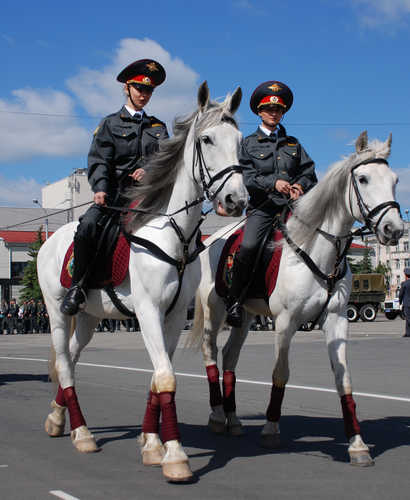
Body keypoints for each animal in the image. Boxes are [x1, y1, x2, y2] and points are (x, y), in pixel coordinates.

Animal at [38, 81, 247, 480]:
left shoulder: (174, 317)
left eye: (240, 140)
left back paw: (58, 419)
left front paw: (153, 444)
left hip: (88, 318)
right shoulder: (149, 311)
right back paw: (82, 433)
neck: (173, 231)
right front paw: (176, 455)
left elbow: (158, 376)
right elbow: (165, 377)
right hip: (58, 312)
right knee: (64, 362)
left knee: (70, 355)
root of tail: (51, 240)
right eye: (207, 139)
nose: (236, 200)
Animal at [188, 132, 404, 464]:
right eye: (363, 179)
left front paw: (357, 444)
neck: (317, 249)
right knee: (210, 351)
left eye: (395, 180)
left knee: (230, 356)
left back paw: (234, 420)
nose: (394, 230)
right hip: (214, 311)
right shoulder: (286, 322)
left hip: (244, 315)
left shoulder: (337, 321)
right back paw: (217, 416)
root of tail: (209, 240)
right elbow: (280, 373)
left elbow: (344, 378)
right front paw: (271, 430)